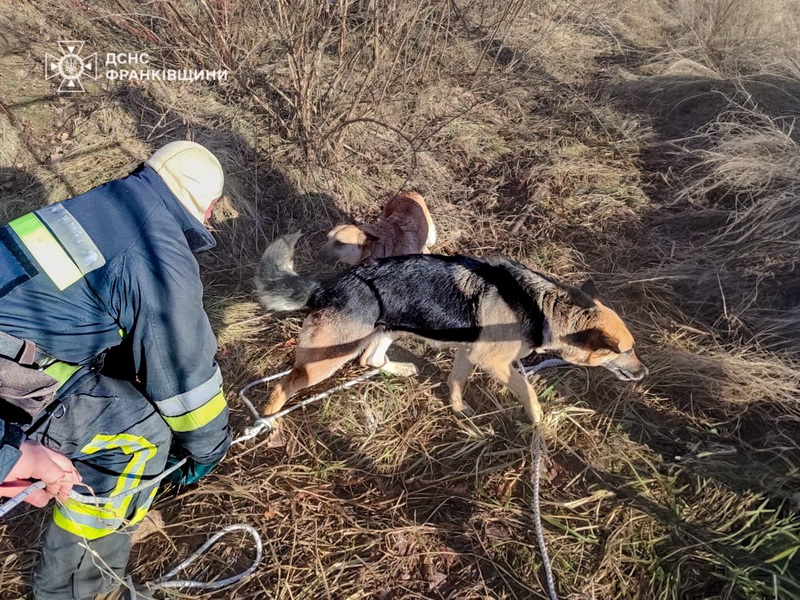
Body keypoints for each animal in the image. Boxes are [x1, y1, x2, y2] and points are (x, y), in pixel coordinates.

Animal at [256, 234, 648, 426]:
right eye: (626, 350)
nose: (644, 373)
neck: (544, 306)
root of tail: (328, 286)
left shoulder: (468, 352)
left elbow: (456, 381)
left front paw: (459, 411)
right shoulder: (494, 362)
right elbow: (528, 392)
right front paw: (539, 423)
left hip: (388, 330)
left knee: (371, 360)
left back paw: (400, 368)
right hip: (326, 359)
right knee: (283, 386)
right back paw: (270, 423)